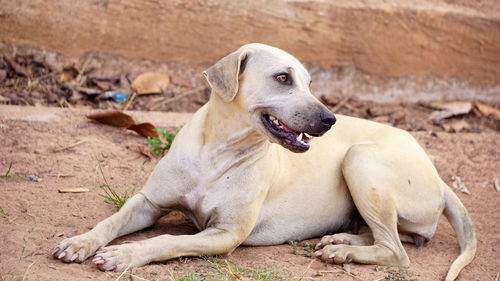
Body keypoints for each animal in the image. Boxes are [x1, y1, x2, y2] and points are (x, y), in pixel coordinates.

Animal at [51, 43, 476, 280]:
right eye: (283, 78)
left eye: (309, 83)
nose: (329, 119)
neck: (216, 153)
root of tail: (439, 178)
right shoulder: (147, 203)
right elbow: (111, 220)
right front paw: (80, 241)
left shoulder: (224, 235)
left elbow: (167, 240)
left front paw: (125, 254)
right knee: (389, 238)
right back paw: (342, 239)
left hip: (360, 158)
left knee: (397, 251)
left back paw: (344, 251)